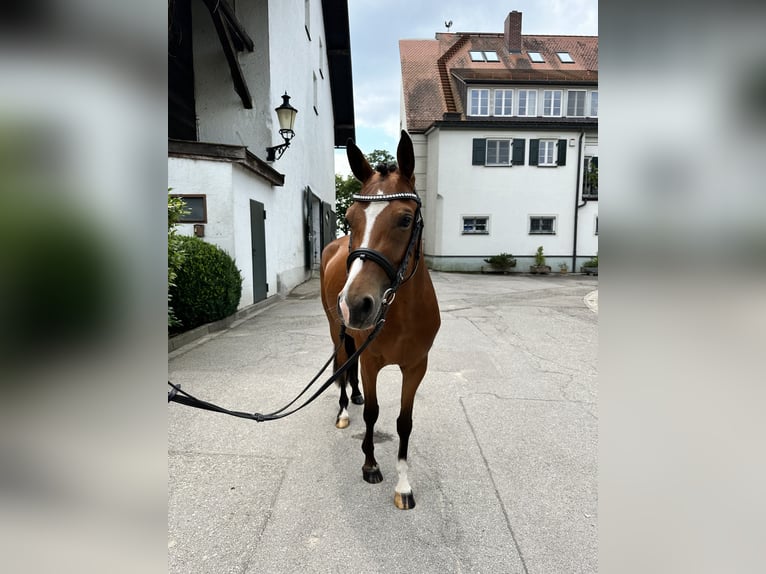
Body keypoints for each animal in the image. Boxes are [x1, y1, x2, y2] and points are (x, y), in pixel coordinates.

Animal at [320, 132, 440, 512]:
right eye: (349, 217)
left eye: (405, 219)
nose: (355, 304)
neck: (399, 314)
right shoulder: (371, 361)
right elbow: (373, 414)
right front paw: (370, 464)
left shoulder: (416, 367)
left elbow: (404, 422)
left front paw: (403, 485)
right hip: (337, 330)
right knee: (343, 362)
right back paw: (345, 410)